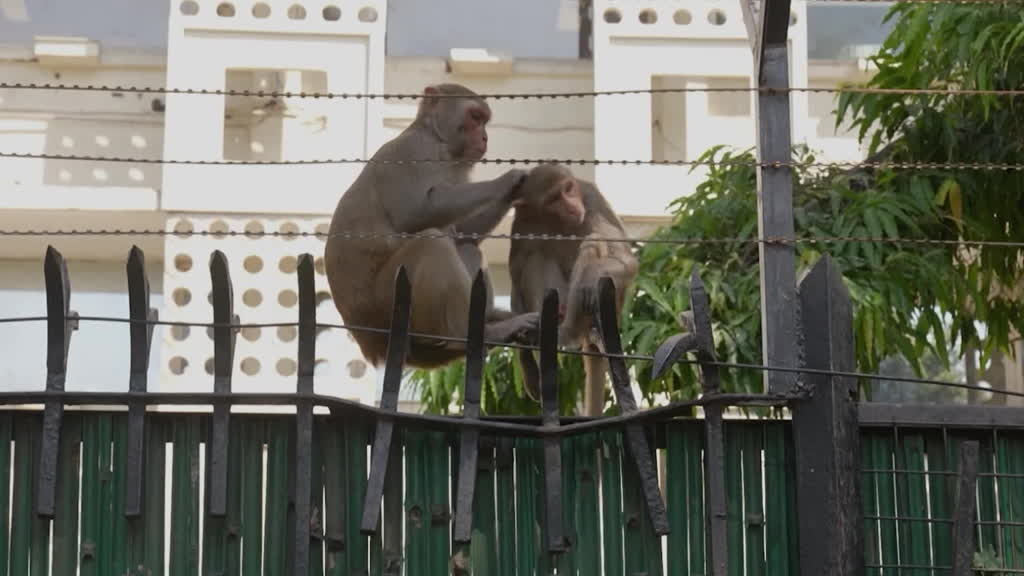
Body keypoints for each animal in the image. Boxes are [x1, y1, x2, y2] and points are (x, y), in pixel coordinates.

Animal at [324, 83, 540, 370]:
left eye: (484, 121)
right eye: (475, 117)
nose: (484, 138)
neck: (438, 141)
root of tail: (368, 341)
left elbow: (463, 231)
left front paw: (515, 191)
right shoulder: (412, 150)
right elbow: (415, 212)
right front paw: (509, 179)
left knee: (466, 246)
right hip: (387, 304)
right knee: (432, 243)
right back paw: (472, 334)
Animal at [508, 163, 639, 417]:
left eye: (568, 189)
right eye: (553, 199)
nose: (570, 205)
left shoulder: (591, 198)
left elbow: (626, 260)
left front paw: (592, 274)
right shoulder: (521, 223)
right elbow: (517, 278)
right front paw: (527, 362)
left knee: (594, 239)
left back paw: (569, 330)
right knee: (536, 256)